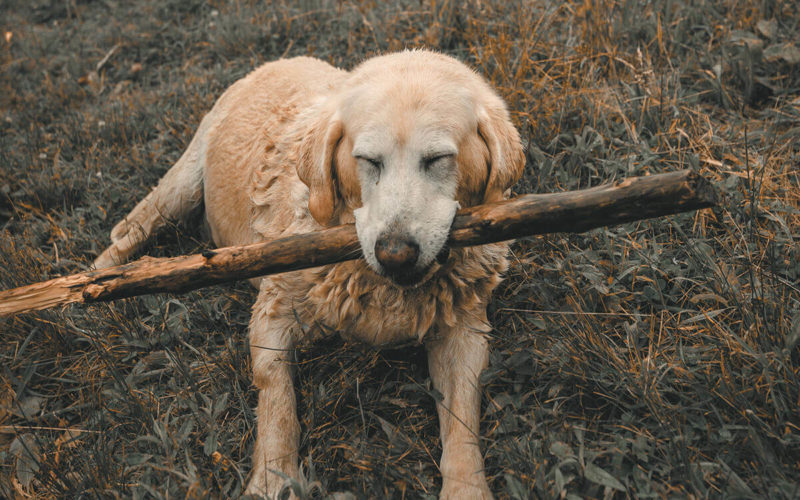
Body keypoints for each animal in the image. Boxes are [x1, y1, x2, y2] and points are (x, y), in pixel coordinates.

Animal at [94, 48, 524, 498]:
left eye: (438, 159)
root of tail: (279, 60)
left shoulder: (465, 331)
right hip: (178, 186)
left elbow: (462, 422)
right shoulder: (273, 313)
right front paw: (273, 476)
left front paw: (466, 487)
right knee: (126, 233)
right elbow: (276, 397)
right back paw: (89, 287)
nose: (395, 255)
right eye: (368, 161)